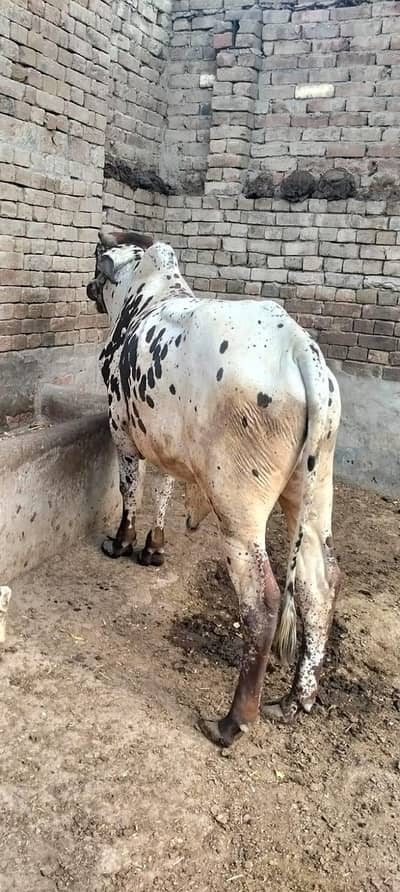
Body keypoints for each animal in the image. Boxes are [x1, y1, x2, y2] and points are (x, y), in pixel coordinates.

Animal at [86, 228, 341, 748]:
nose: (87, 288)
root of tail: (298, 346)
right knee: (318, 583)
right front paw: (154, 547)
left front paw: (122, 543)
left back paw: (233, 721)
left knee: (263, 604)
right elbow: (163, 490)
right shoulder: (162, 439)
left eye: (98, 265)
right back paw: (295, 700)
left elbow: (130, 494)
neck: (145, 296)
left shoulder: (122, 432)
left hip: (240, 512)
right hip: (312, 494)